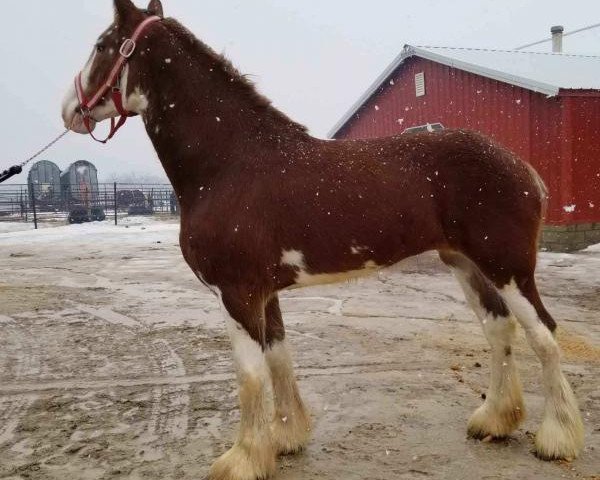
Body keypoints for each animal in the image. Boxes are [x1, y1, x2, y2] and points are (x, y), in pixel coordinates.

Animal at [63, 1, 584, 478]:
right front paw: (287, 437)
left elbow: (249, 377)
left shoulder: (237, 293)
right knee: (499, 330)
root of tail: (522, 167)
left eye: (103, 45)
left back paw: (556, 438)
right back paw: (494, 421)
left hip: (507, 267)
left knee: (544, 335)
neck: (229, 164)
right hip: (466, 264)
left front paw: (243, 459)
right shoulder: (263, 294)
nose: (69, 109)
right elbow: (278, 359)